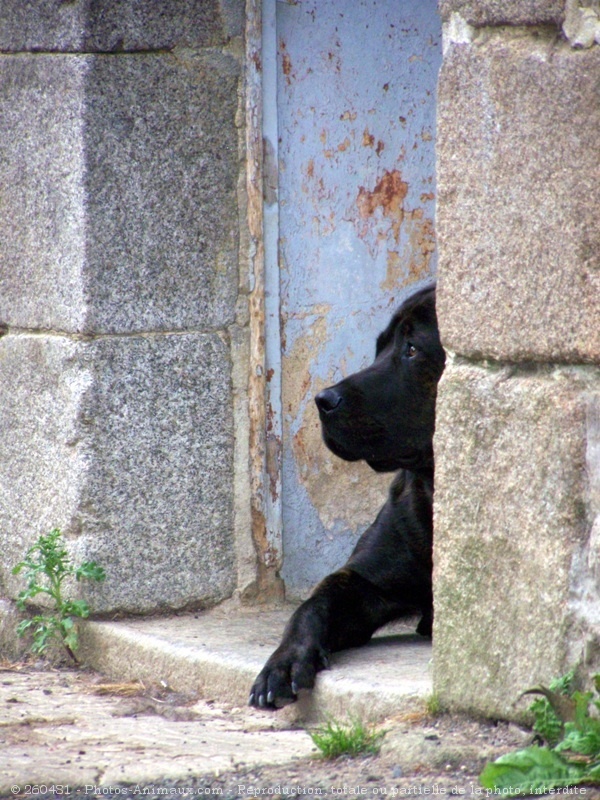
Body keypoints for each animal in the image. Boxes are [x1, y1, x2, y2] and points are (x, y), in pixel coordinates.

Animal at [248, 284, 446, 708]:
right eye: (380, 346)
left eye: (412, 349)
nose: (324, 400)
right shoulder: (362, 582)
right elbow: (311, 605)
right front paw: (284, 661)